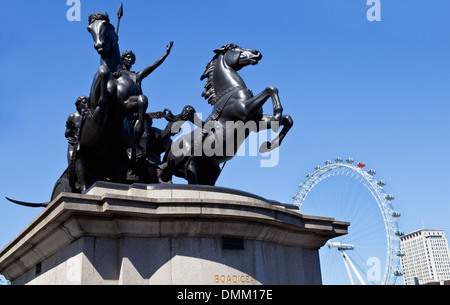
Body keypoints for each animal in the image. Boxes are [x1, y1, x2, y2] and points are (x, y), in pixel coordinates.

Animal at [161, 43, 292, 185]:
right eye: (234, 47)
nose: (257, 53)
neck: (231, 91)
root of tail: (167, 155)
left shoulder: (255, 122)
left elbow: (288, 119)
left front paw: (268, 146)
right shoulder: (245, 111)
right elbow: (271, 89)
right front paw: (277, 114)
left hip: (210, 171)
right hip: (190, 166)